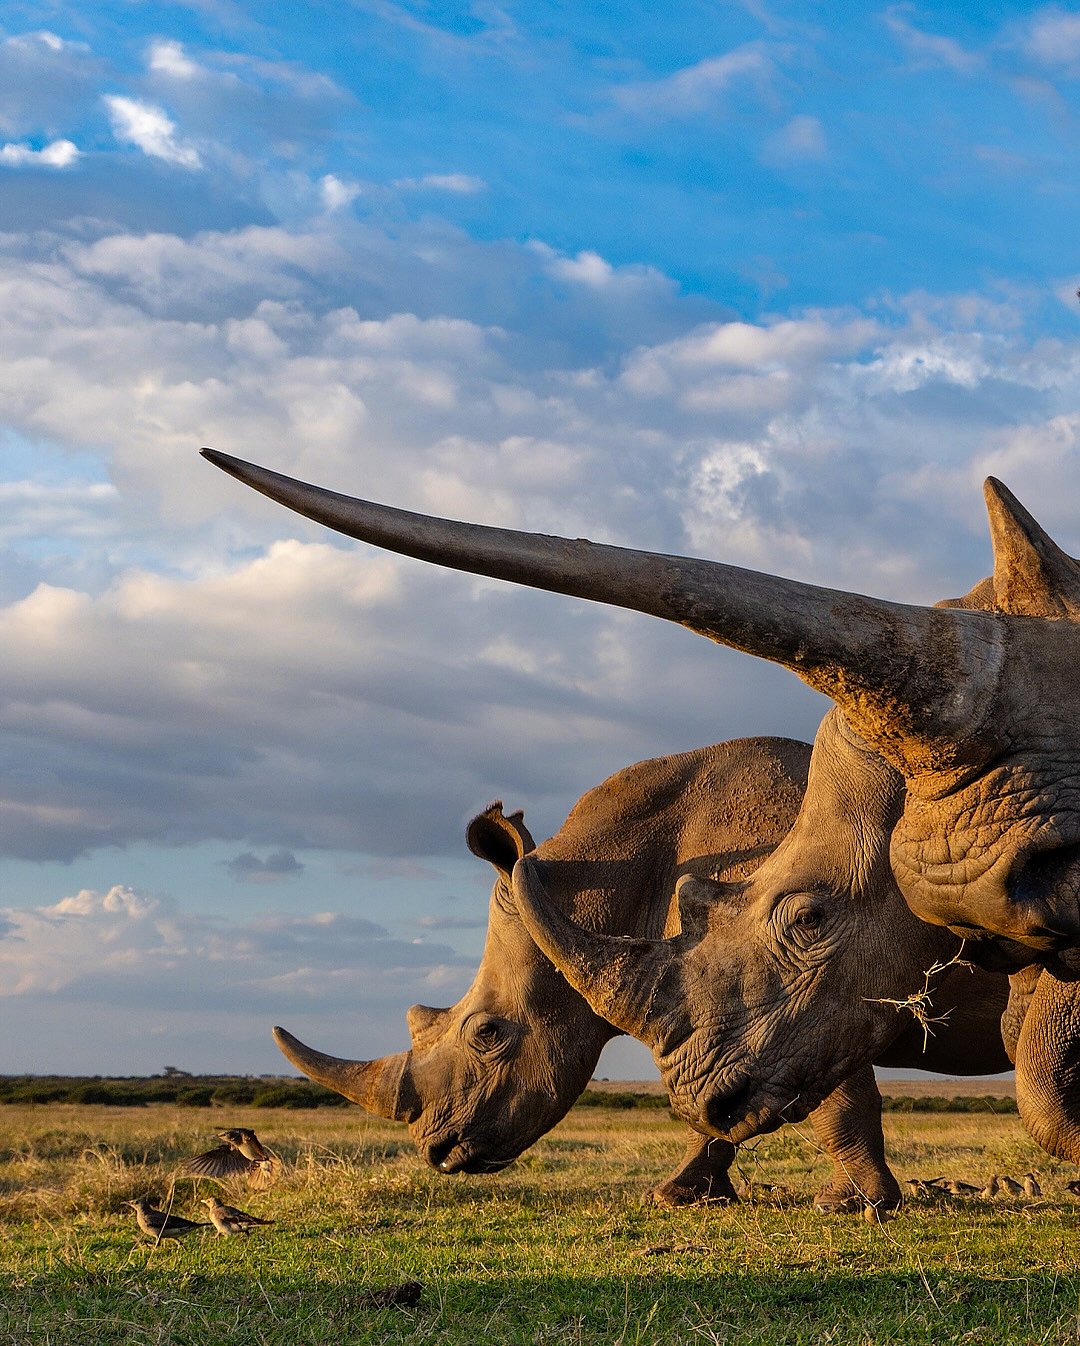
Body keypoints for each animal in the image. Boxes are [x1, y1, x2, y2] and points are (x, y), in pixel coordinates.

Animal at [273, 733, 1009, 1210]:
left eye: (488, 1034)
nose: (437, 1151)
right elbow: (720, 1106)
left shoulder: (811, 978)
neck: (604, 881)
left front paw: (860, 1203)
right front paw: (680, 1195)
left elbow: (834, 1099)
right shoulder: (736, 994)